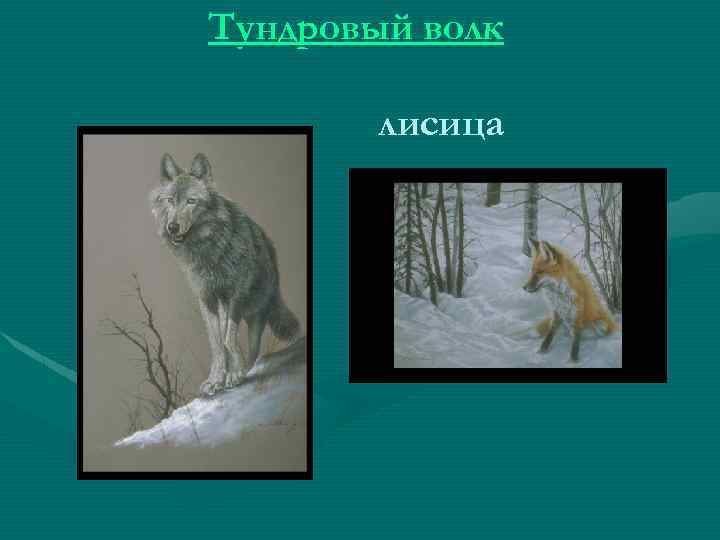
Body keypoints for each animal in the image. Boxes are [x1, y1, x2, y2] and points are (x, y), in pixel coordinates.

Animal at [150, 153, 300, 396]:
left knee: (253, 350)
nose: (172, 227)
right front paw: (215, 380)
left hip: (256, 313)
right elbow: (217, 344)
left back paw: (243, 370)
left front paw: (234, 374)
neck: (208, 250)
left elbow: (229, 340)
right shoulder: (207, 299)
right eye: (170, 200)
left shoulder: (234, 296)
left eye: (191, 201)